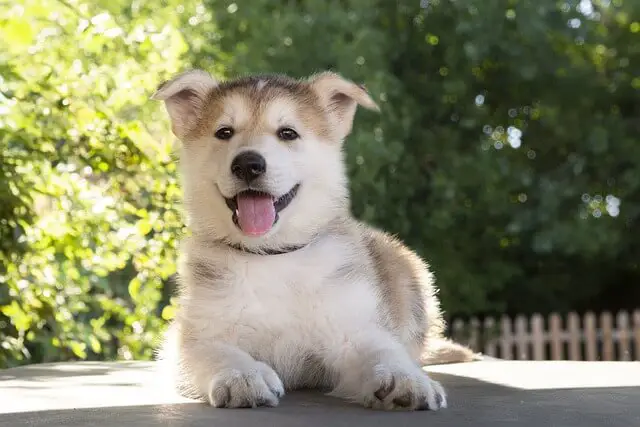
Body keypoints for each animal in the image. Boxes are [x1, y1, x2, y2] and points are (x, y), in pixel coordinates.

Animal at [152, 69, 478, 412]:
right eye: (224, 132)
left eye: (288, 133)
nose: (248, 164)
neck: (272, 256)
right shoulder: (194, 335)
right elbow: (215, 351)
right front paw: (242, 375)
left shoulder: (352, 328)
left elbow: (384, 350)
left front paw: (405, 378)